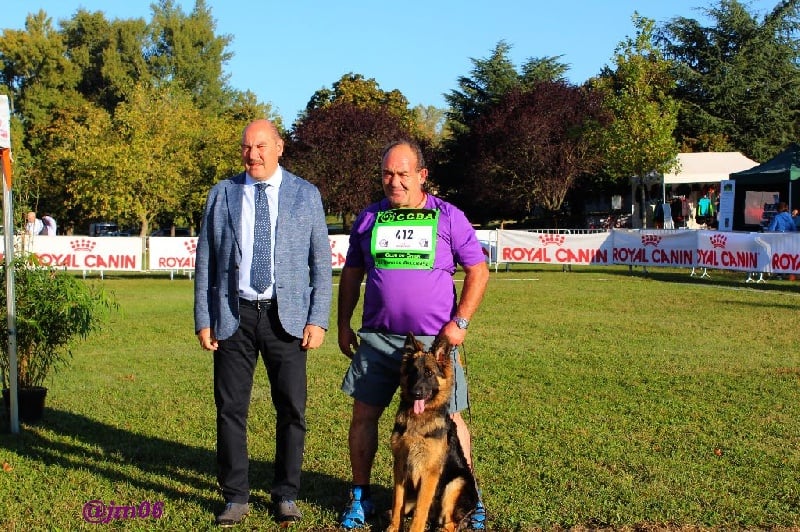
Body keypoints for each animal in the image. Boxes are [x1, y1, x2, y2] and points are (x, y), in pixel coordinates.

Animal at [386, 332, 478, 532]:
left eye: (429, 373)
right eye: (412, 372)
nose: (416, 393)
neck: (418, 421)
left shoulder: (429, 473)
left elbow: (421, 510)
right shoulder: (400, 466)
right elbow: (397, 502)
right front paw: (393, 527)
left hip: (455, 483)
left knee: (450, 524)